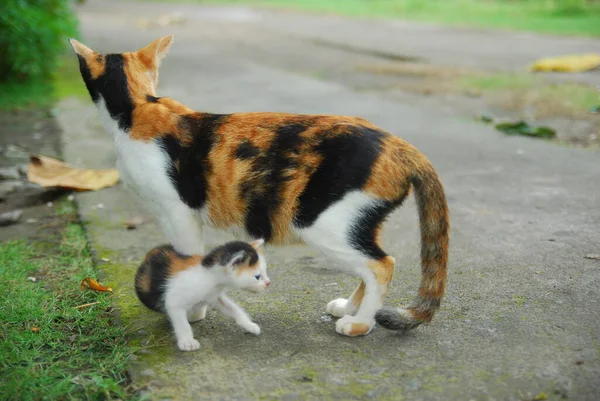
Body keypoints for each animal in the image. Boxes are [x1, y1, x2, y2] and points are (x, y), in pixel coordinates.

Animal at [69, 34, 450, 336]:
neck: (137, 107)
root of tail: (398, 144)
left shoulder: (179, 213)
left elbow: (189, 258)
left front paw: (193, 310)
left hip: (321, 223)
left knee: (382, 265)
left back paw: (359, 324)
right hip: (356, 224)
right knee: (371, 261)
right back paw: (348, 308)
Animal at [136, 238, 270, 350]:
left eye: (265, 271)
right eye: (257, 277)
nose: (268, 283)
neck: (209, 275)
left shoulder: (214, 296)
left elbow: (234, 309)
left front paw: (249, 325)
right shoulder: (175, 300)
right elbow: (182, 322)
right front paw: (187, 342)